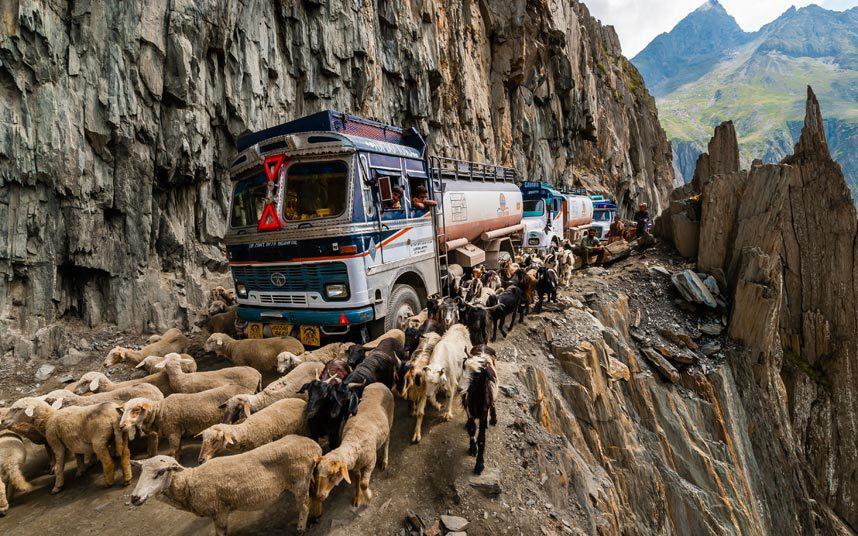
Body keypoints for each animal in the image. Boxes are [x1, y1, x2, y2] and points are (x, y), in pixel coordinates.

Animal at [2, 398, 130, 494]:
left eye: (17, 409)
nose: (3, 421)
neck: (48, 418)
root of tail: (113, 416)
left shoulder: (56, 442)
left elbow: (59, 466)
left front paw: (57, 486)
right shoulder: (73, 441)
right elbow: (78, 457)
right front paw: (80, 471)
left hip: (99, 440)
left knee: (108, 462)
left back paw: (109, 483)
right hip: (123, 434)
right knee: (125, 456)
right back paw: (127, 480)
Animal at [121, 384, 254, 458]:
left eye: (137, 409)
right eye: (124, 410)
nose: (121, 426)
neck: (159, 412)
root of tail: (248, 390)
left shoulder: (173, 431)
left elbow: (173, 450)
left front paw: (175, 460)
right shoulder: (177, 431)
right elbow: (178, 447)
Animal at [130, 436, 320, 536]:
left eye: (161, 472)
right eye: (141, 471)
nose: (134, 498)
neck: (189, 483)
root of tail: (313, 445)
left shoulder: (219, 512)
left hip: (299, 481)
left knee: (304, 506)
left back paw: (301, 528)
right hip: (306, 478)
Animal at [458, 344, 498, 474]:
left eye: (477, 373)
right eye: (463, 366)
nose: (459, 389)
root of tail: (483, 345)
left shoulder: (483, 414)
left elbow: (481, 438)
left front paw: (479, 465)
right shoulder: (469, 409)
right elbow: (471, 429)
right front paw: (472, 449)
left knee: (493, 403)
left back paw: (493, 420)